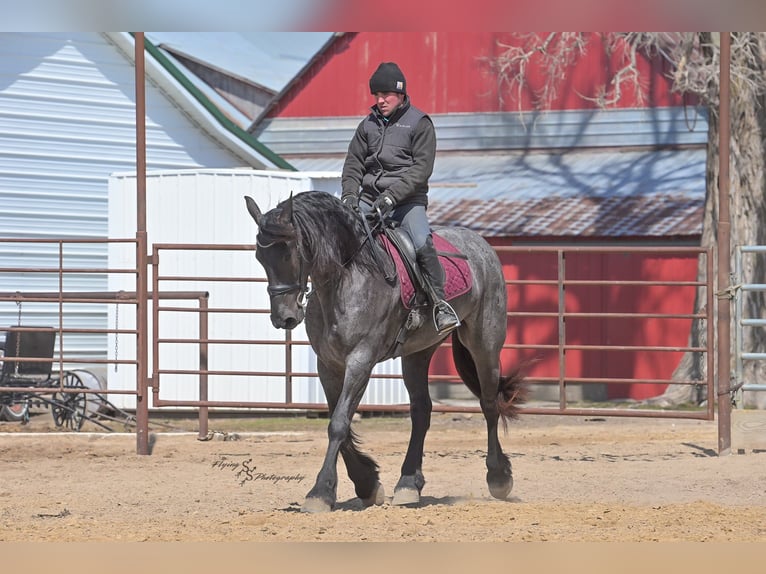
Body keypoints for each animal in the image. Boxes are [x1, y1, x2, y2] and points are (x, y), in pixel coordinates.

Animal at [244, 190, 524, 513]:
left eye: (289, 252)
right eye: (260, 257)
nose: (284, 318)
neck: (346, 280)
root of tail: (481, 245)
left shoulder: (360, 361)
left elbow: (339, 424)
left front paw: (321, 493)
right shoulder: (328, 365)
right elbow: (337, 419)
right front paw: (367, 483)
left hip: (484, 344)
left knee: (489, 404)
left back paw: (499, 478)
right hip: (418, 352)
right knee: (421, 410)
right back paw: (408, 484)